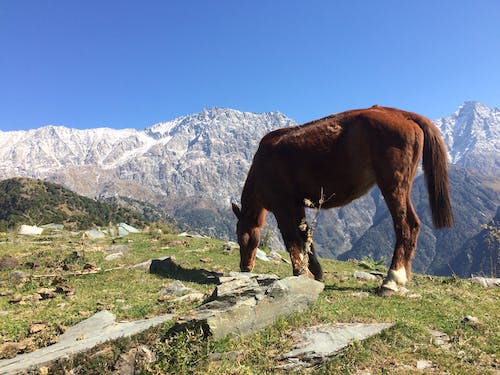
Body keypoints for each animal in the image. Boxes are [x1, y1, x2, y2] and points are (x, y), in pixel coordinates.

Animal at [231, 104, 454, 296]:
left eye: (241, 236)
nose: (245, 267)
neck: (263, 163)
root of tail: (402, 114)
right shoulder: (297, 206)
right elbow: (305, 236)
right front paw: (315, 273)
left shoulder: (282, 206)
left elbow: (291, 239)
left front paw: (300, 272)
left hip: (394, 186)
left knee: (406, 225)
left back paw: (392, 280)